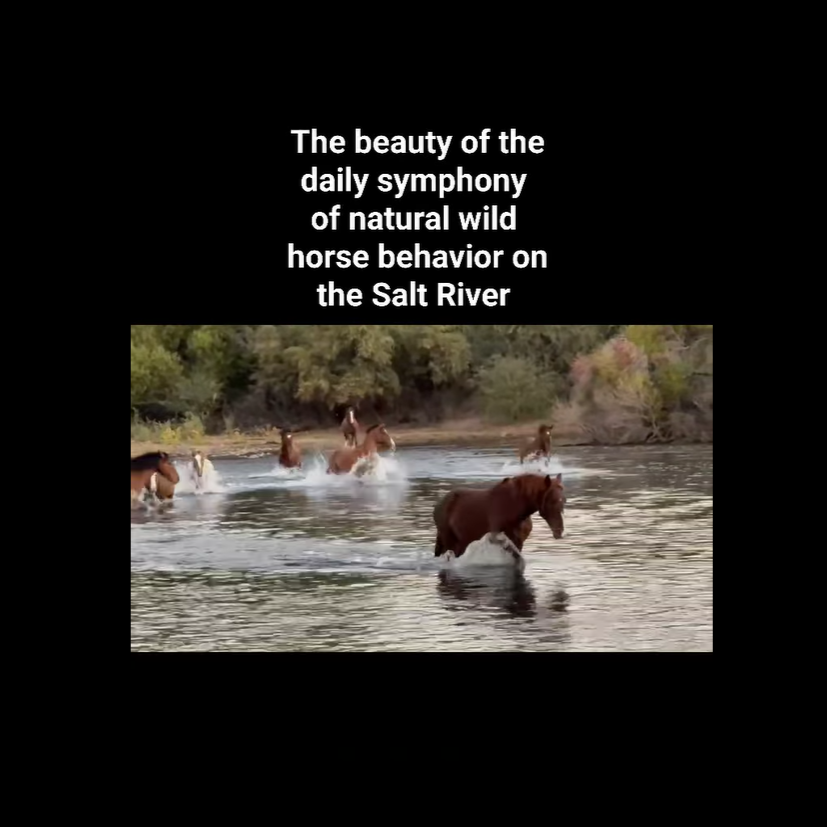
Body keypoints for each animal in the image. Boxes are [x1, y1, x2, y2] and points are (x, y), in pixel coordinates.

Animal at [434, 472, 564, 564]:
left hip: (461, 542)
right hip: (449, 541)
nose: (559, 530)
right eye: (552, 500)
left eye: (564, 500)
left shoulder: (519, 541)